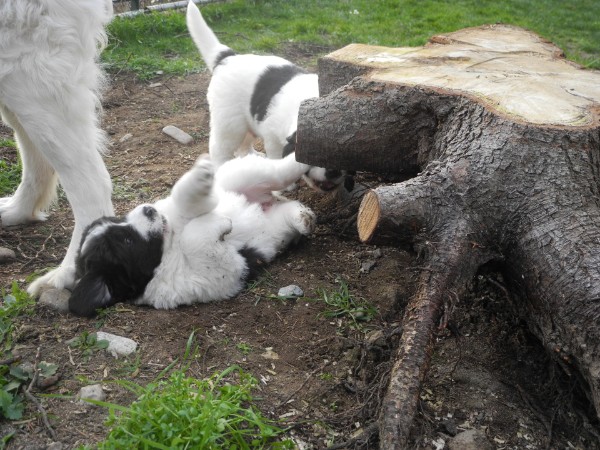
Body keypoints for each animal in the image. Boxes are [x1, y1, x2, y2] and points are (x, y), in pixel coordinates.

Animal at [68, 153, 316, 318]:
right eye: (127, 241)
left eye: (118, 219)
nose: (148, 209)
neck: (169, 244)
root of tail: (264, 202)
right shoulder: (223, 269)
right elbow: (194, 237)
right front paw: (222, 222)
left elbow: (184, 200)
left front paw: (199, 182)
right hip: (272, 223)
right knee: (285, 202)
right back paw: (303, 217)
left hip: (239, 176)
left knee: (279, 171)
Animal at [186, 0, 352, 192]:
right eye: (315, 155)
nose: (334, 172)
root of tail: (228, 58)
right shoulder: (273, 137)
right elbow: (278, 159)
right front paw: (286, 186)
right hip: (230, 123)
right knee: (220, 149)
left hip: (249, 119)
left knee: (244, 145)